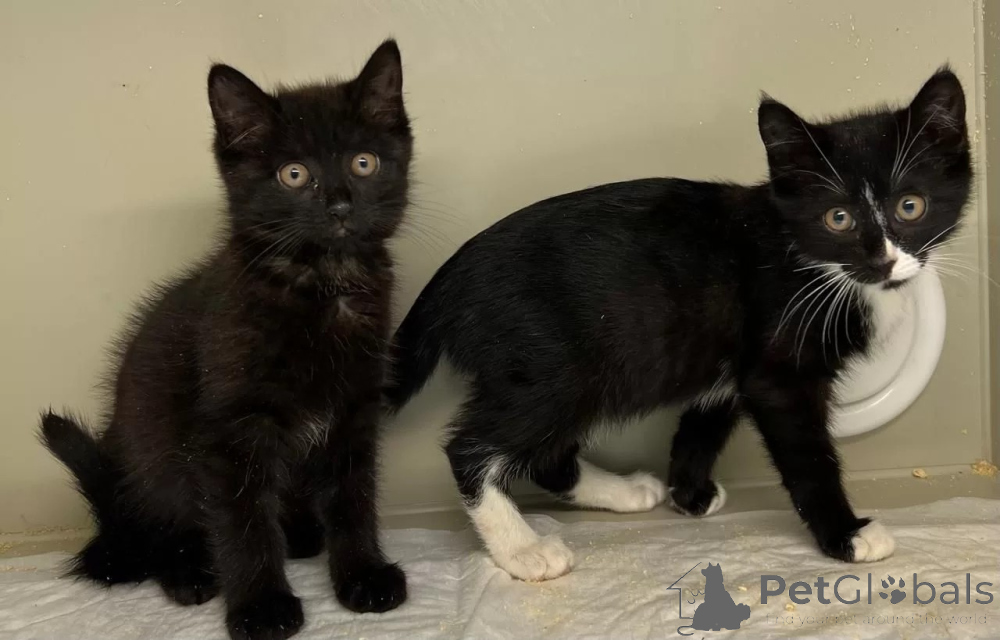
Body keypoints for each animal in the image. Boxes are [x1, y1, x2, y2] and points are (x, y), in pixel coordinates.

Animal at [40, 40, 411, 640]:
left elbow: (353, 494)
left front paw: (363, 573)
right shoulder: (229, 426)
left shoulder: (355, 406)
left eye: (364, 162)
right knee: (162, 526)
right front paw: (261, 606)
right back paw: (187, 571)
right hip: (150, 453)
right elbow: (242, 519)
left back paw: (302, 535)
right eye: (293, 174)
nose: (338, 205)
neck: (321, 284)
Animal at [385, 67, 971, 581]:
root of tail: (452, 275)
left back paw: (622, 493)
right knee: (473, 449)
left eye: (911, 206)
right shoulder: (777, 370)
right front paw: (845, 535)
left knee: (547, 455)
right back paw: (521, 550)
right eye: (838, 219)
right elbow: (806, 454)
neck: (815, 265)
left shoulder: (730, 358)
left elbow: (703, 423)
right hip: (552, 366)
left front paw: (689, 494)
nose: (884, 261)